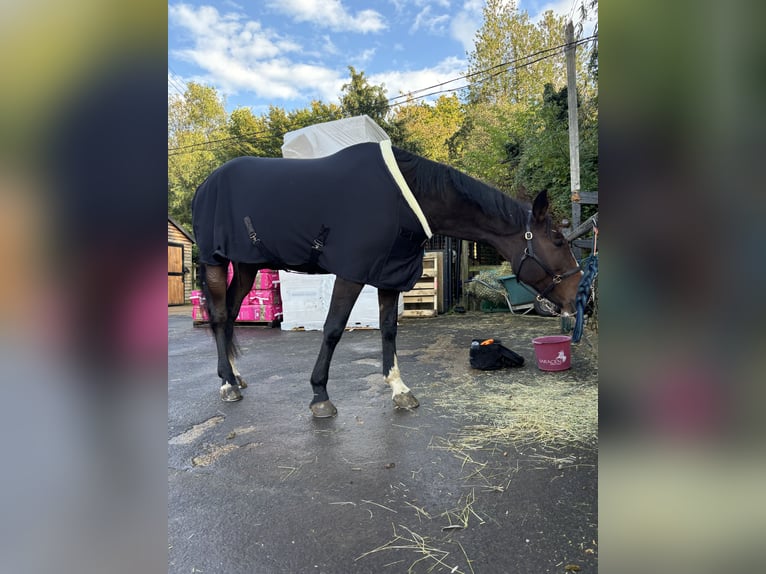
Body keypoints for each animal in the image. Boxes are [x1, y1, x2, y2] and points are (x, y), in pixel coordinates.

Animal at [194, 141, 584, 416]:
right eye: (559, 240)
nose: (578, 295)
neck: (405, 198)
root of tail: (206, 185)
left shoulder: (388, 275)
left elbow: (388, 330)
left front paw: (399, 389)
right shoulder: (352, 273)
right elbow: (333, 329)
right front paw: (320, 394)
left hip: (246, 265)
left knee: (230, 314)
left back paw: (234, 376)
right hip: (217, 262)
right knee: (219, 316)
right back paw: (227, 384)